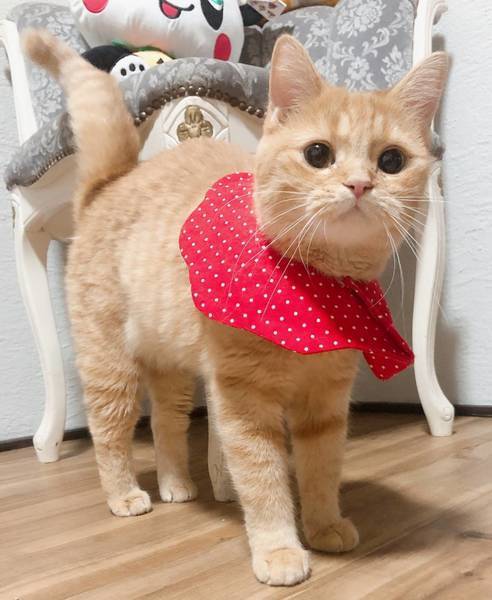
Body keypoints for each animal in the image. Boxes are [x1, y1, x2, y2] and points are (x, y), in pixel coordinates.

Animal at [23, 29, 447, 586]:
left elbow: (321, 467)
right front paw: (279, 549)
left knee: (166, 424)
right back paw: (124, 495)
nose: (360, 185)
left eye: (392, 161)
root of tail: (109, 183)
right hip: (110, 367)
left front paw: (323, 524)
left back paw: (176, 483)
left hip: (172, 371)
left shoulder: (325, 399)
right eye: (318, 153)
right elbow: (263, 479)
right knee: (109, 434)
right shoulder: (245, 403)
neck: (316, 289)